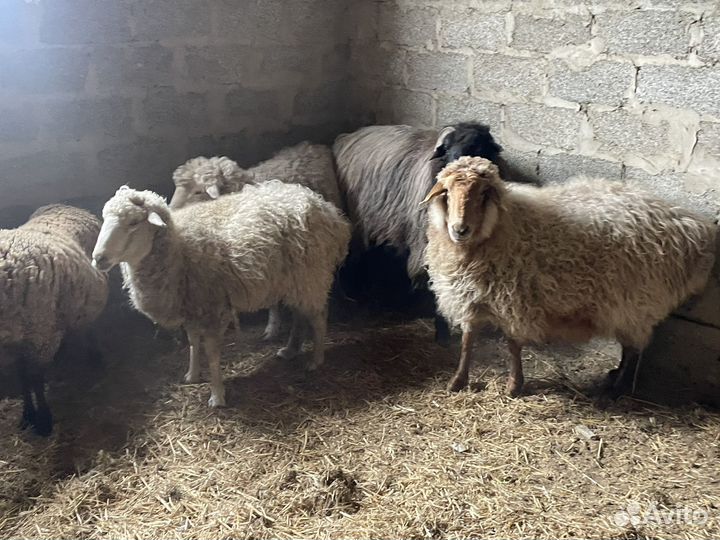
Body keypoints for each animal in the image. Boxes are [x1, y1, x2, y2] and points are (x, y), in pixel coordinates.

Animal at [0, 204, 108, 436]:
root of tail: (66, 205)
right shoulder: (17, 344)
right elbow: (22, 378)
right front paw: (27, 415)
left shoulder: (39, 338)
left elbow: (35, 380)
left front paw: (43, 420)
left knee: (90, 326)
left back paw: (95, 354)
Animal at [91, 182, 351, 408]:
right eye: (105, 219)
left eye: (134, 222)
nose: (98, 258)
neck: (179, 249)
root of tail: (329, 211)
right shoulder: (192, 308)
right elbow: (193, 343)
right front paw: (192, 375)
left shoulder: (211, 308)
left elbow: (212, 354)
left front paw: (217, 396)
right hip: (295, 281)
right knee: (300, 315)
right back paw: (290, 350)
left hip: (312, 275)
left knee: (318, 317)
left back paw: (315, 359)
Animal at [422, 156, 716, 397]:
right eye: (447, 192)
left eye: (484, 194)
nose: (460, 229)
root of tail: (692, 226)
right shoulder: (469, 296)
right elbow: (467, 341)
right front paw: (457, 382)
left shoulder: (514, 300)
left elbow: (513, 345)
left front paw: (514, 386)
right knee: (630, 345)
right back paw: (614, 378)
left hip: (637, 302)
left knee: (634, 348)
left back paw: (617, 388)